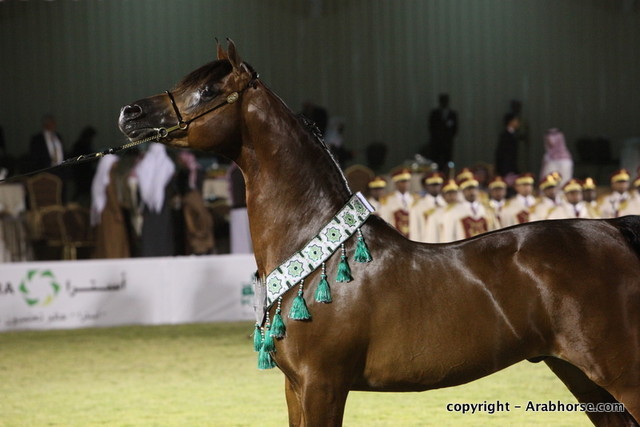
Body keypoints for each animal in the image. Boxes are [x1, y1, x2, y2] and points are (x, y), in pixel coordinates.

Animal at [118, 39, 640, 426]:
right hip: (581, 376)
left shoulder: (322, 384)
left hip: (621, 374)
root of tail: (614, 230)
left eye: (208, 90)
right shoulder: (295, 387)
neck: (319, 251)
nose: (131, 113)